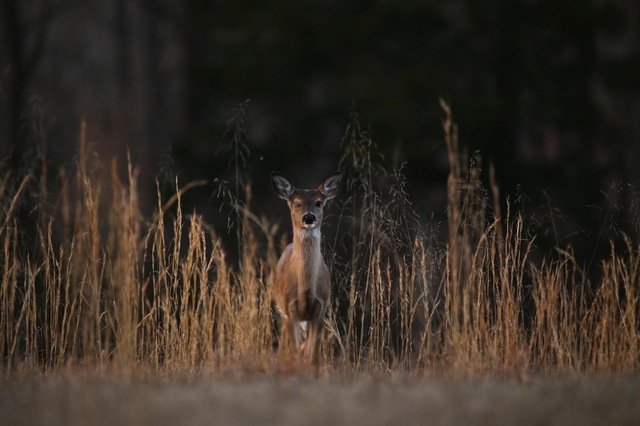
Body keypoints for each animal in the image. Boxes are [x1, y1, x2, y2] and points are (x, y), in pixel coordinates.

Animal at [271, 171, 342, 367]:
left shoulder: (320, 309)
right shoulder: (290, 310)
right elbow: (296, 353)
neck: (305, 288)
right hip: (283, 311)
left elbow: (313, 356)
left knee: (304, 347)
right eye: (296, 203)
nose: (308, 218)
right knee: (285, 347)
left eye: (318, 202)